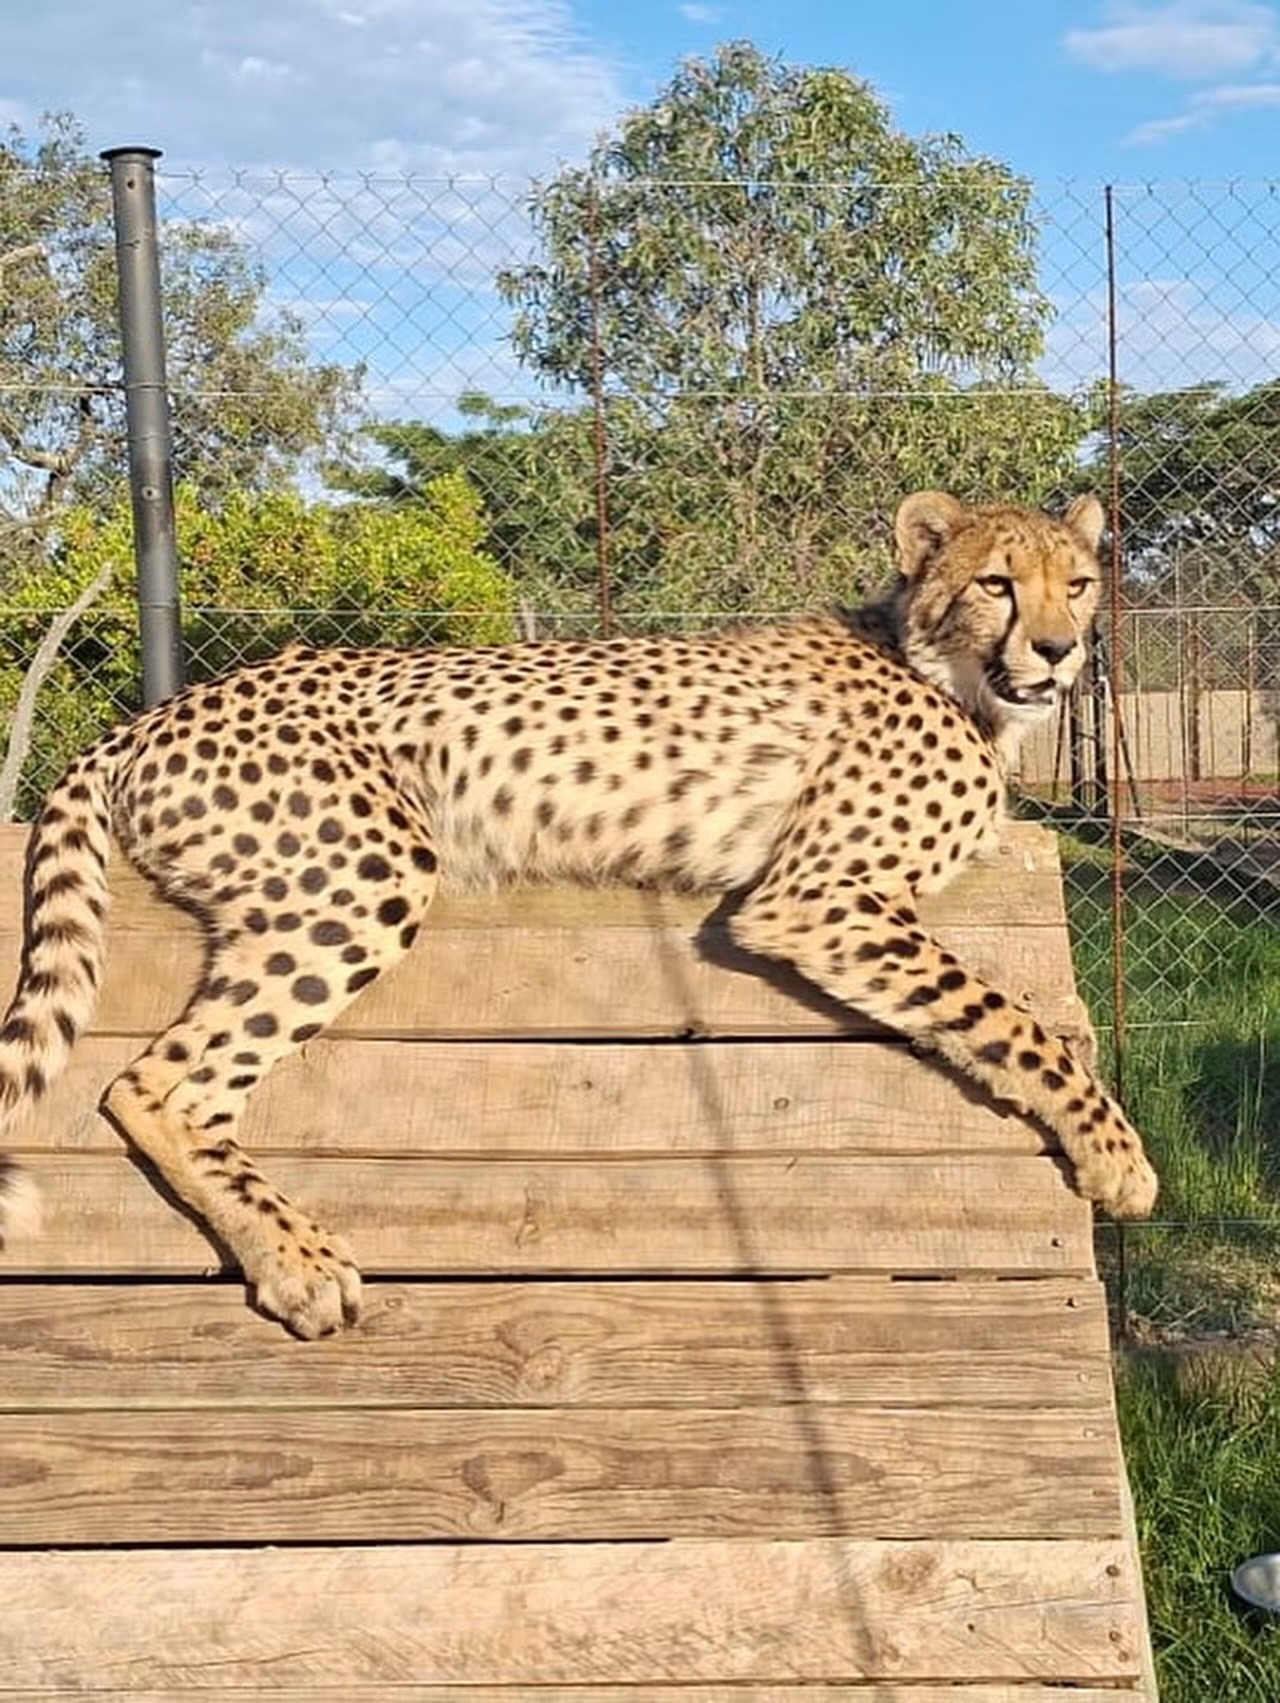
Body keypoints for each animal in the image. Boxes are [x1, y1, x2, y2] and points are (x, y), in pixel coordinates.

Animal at [0, 488, 1158, 1338]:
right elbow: (1009, 1013)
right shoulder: (816, 894)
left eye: (1077, 583)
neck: (942, 669)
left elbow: (977, 1014)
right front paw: (1116, 1154)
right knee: (155, 1082)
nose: (1059, 649)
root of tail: (158, 711)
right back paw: (298, 1260)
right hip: (370, 872)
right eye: (997, 584)